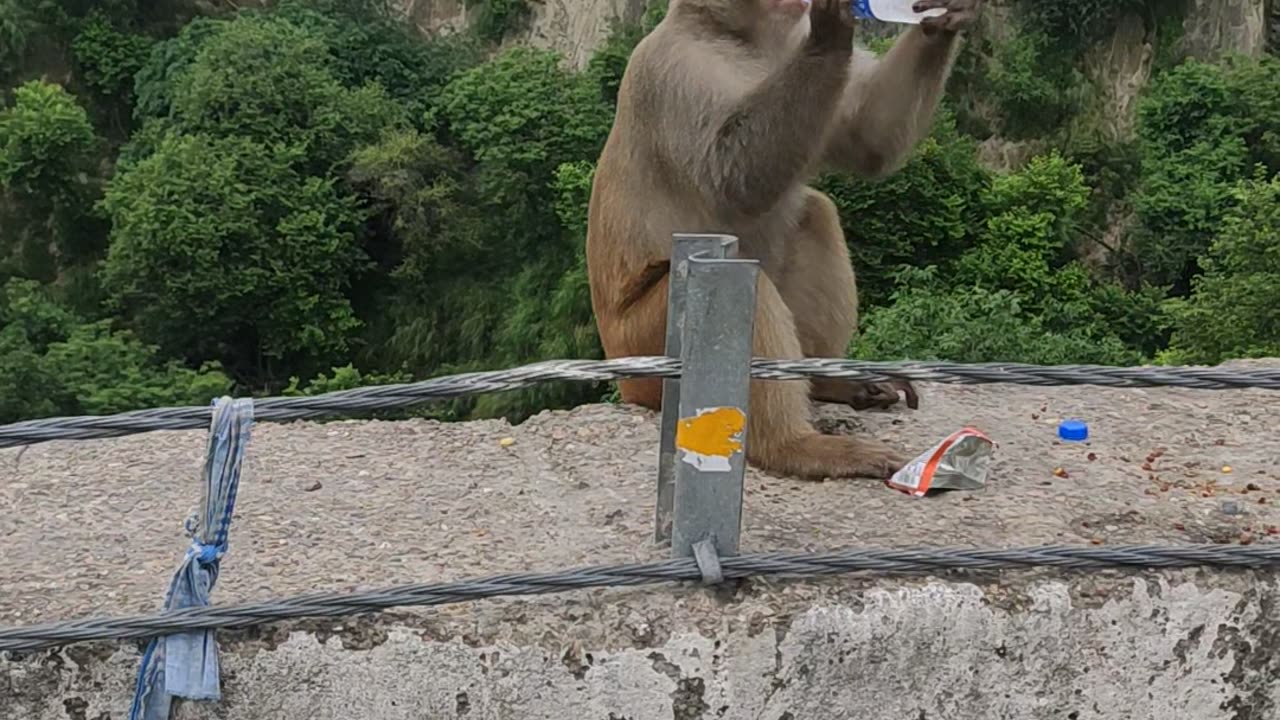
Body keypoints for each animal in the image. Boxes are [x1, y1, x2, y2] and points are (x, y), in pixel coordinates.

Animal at [586, 0, 977, 476]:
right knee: (743, 283)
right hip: (653, 346)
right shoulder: (675, 69)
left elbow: (865, 138)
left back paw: (824, 383)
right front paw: (831, 34)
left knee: (816, 213)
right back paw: (795, 447)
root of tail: (623, 377)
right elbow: (733, 175)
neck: (739, 36)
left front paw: (942, 21)